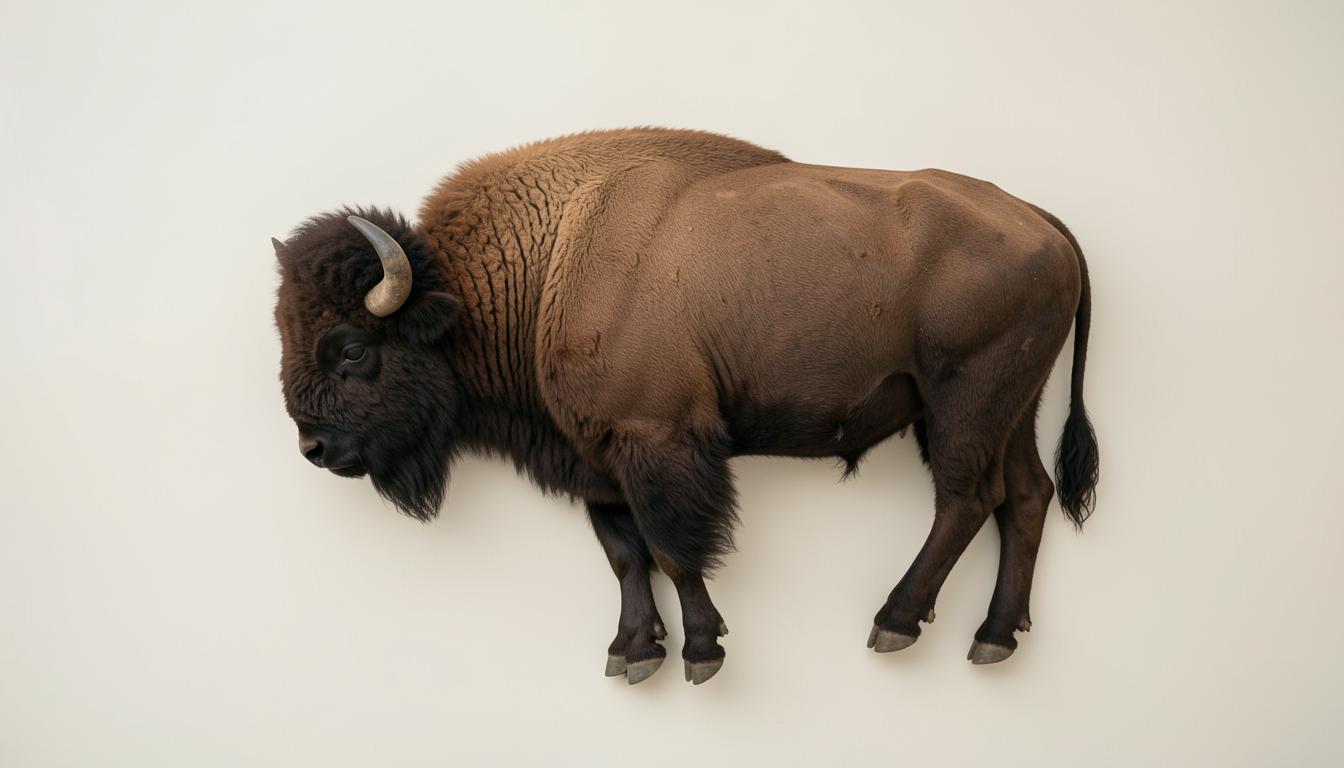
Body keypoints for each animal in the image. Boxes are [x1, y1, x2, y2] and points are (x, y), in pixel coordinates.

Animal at [273, 128, 1098, 685]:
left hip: (962, 402)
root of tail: (1042, 222)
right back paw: (995, 636)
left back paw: (894, 622)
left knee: (967, 499)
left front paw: (702, 651)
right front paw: (632, 652)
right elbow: (624, 555)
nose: (313, 449)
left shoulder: (656, 440)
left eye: (350, 349)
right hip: (1010, 408)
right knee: (1026, 496)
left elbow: (674, 550)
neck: (547, 265)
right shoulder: (596, 461)